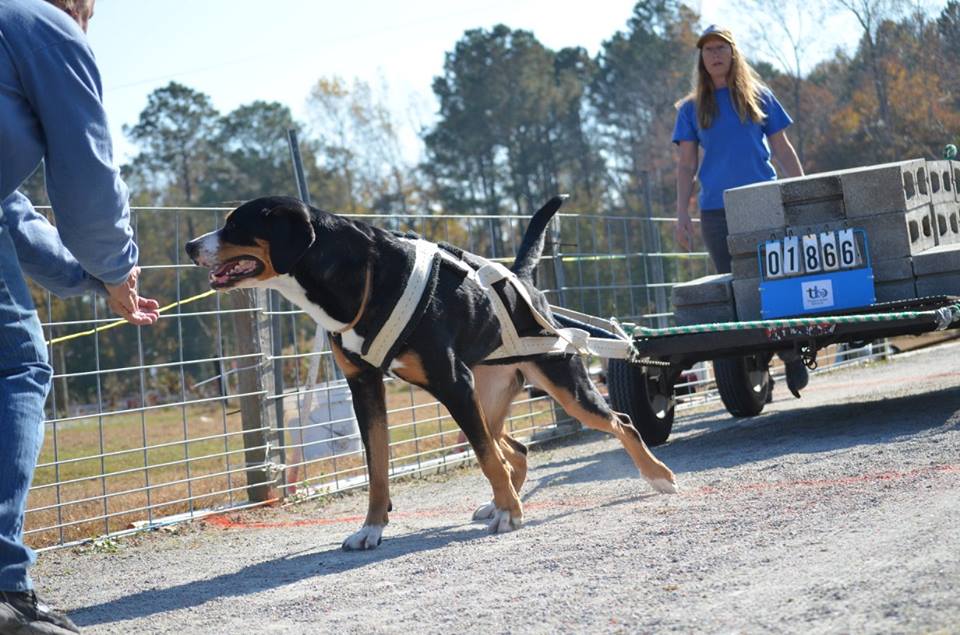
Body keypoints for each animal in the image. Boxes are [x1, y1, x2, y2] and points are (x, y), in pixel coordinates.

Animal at [186, 196, 676, 548]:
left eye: (235, 224)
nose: (190, 246)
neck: (357, 277)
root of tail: (522, 283)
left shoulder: (451, 382)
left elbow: (485, 459)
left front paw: (512, 513)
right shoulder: (365, 388)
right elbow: (377, 467)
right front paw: (371, 528)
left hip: (555, 385)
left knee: (618, 422)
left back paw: (657, 476)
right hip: (484, 399)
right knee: (513, 449)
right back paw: (499, 503)